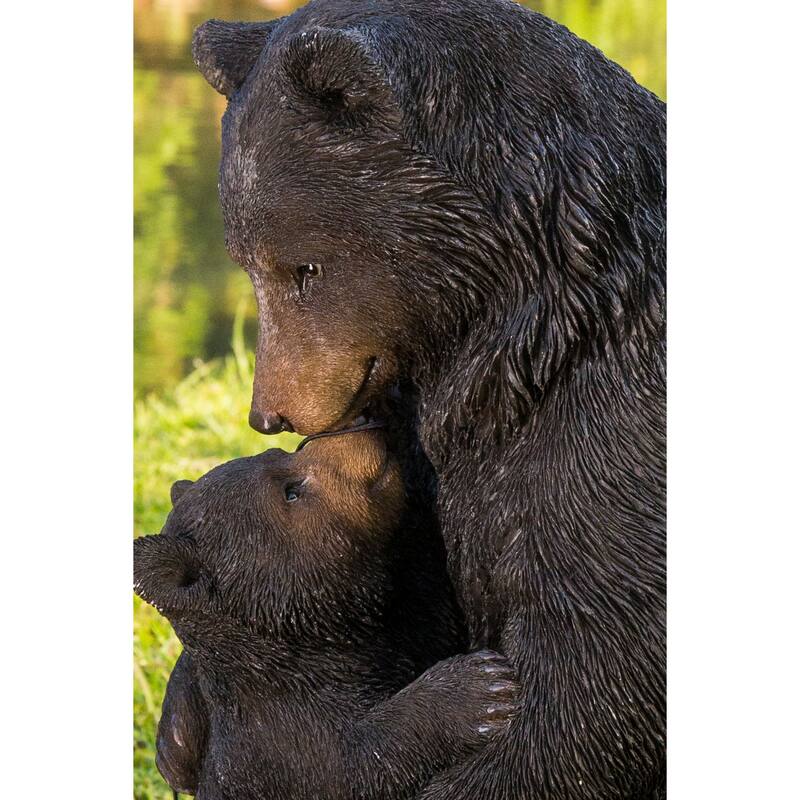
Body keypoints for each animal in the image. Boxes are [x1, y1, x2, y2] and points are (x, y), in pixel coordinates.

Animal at [134, 429, 520, 799]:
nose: (361, 430)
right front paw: (477, 686)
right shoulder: (285, 744)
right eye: (290, 492)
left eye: (279, 453)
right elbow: (355, 765)